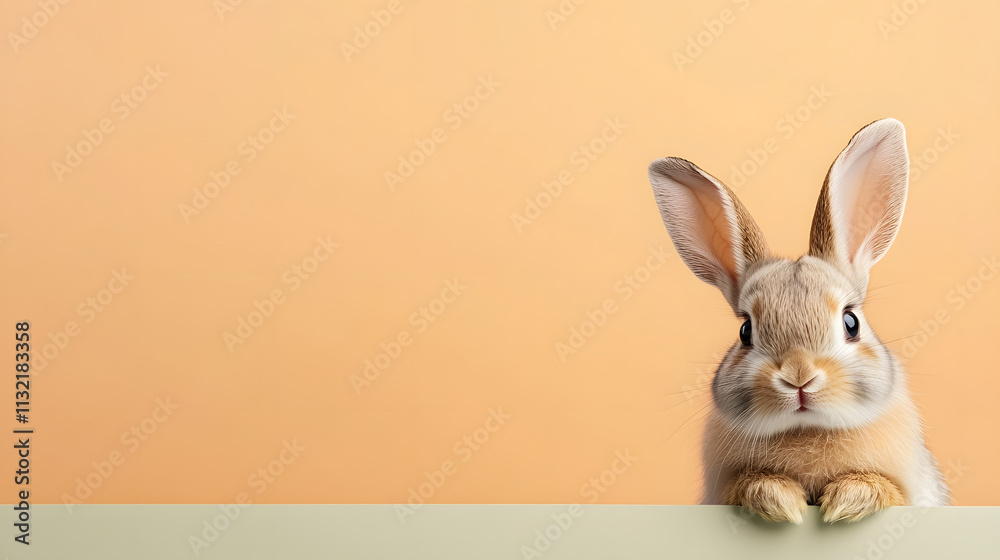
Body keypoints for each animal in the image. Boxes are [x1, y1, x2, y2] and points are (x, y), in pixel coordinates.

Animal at [647, 118, 949, 523]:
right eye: (745, 331)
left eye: (851, 322)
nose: (798, 377)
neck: (805, 429)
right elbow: (747, 485)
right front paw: (780, 501)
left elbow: (885, 488)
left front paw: (846, 501)